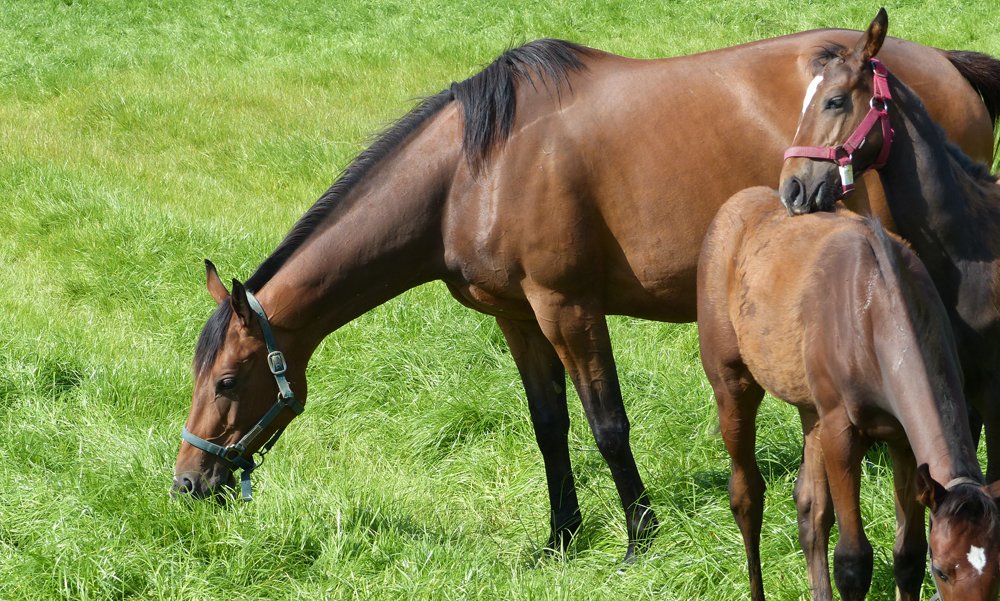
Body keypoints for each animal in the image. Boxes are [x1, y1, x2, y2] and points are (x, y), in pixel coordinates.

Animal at [697, 185, 1000, 601]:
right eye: (941, 570)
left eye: (999, 571)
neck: (876, 312)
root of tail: (736, 203)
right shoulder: (841, 434)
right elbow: (853, 561)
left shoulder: (901, 440)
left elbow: (907, 555)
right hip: (733, 387)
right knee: (746, 496)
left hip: (812, 412)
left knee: (810, 508)